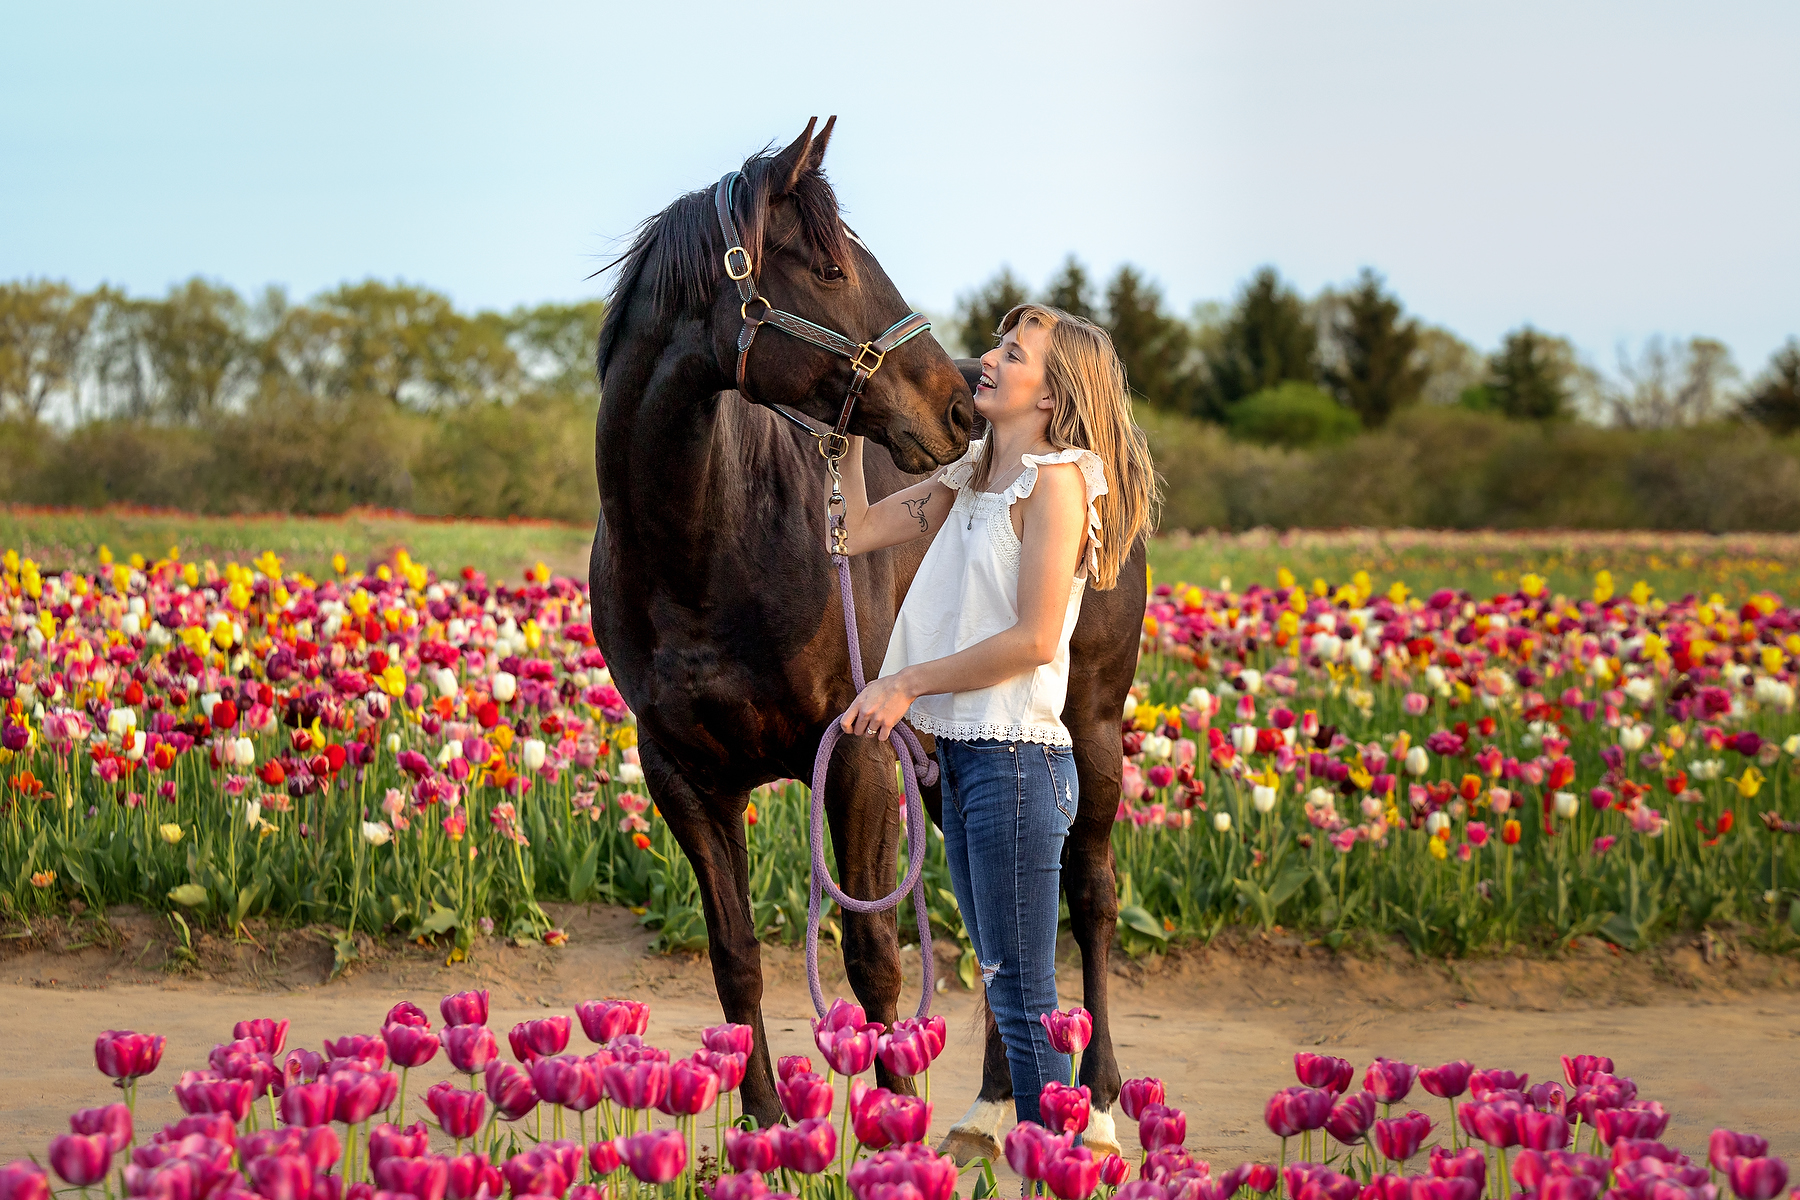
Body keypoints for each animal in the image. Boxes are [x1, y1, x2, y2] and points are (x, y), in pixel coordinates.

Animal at [589, 118, 1145, 1160]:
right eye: (832, 269)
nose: (961, 412)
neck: (701, 551)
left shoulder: (855, 752)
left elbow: (876, 956)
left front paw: (891, 1135)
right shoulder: (682, 776)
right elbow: (734, 957)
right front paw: (766, 1130)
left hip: (1088, 725)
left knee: (1087, 893)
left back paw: (1097, 1099)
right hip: (947, 756)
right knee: (1001, 917)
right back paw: (997, 1104)